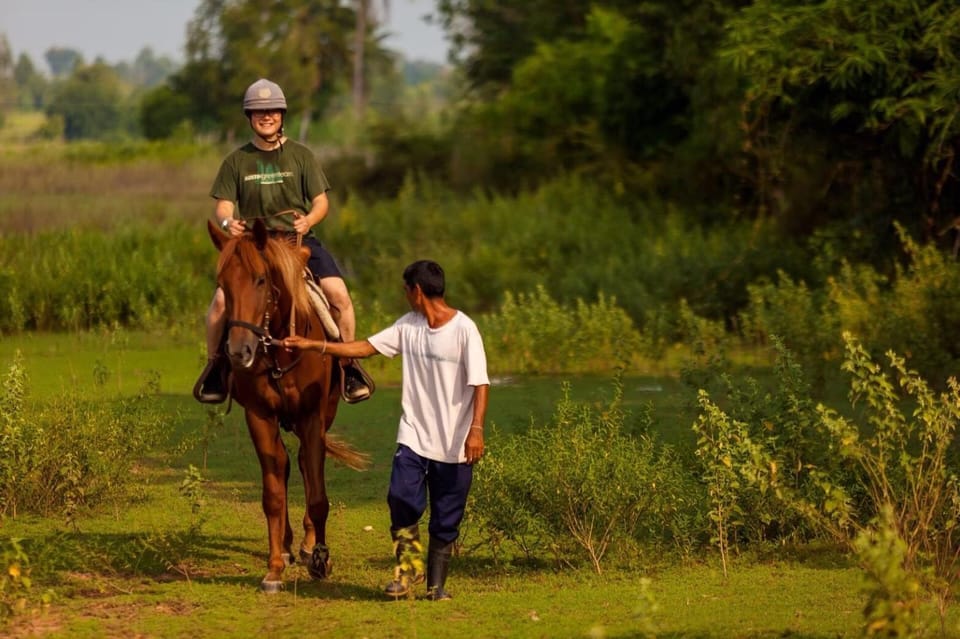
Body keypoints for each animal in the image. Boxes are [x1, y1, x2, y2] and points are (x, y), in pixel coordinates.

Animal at [208, 218, 368, 593]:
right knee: (284, 468)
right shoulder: (259, 416)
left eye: (260, 279)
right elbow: (273, 492)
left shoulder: (312, 416)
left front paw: (321, 558)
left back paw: (308, 546)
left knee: (306, 465)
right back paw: (287, 544)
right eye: (222, 284)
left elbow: (318, 493)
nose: (239, 352)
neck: (280, 351)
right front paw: (274, 568)